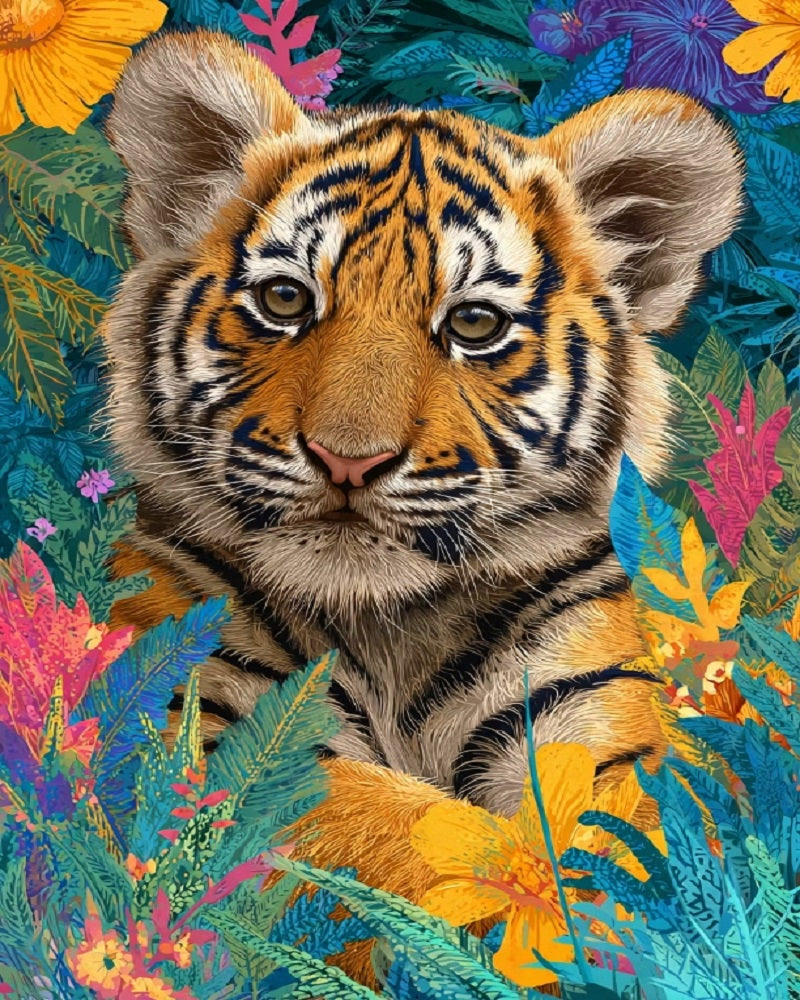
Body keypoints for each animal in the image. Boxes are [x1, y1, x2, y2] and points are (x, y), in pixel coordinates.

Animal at [104, 28, 742, 924]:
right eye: (285, 301)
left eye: (473, 323)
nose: (348, 458)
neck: (388, 627)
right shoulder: (206, 710)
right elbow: (390, 822)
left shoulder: (595, 720)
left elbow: (620, 853)